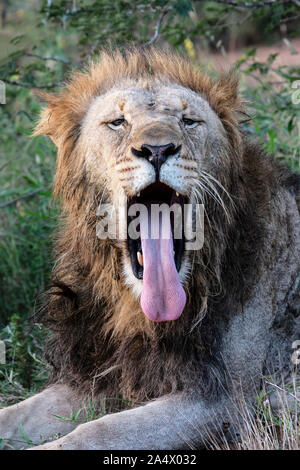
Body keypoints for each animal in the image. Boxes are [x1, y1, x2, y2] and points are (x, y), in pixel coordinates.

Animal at [0, 48, 298, 452]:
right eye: (117, 122)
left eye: (189, 121)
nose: (157, 150)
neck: (132, 307)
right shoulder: (97, 376)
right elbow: (16, 413)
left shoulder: (227, 400)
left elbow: (99, 431)